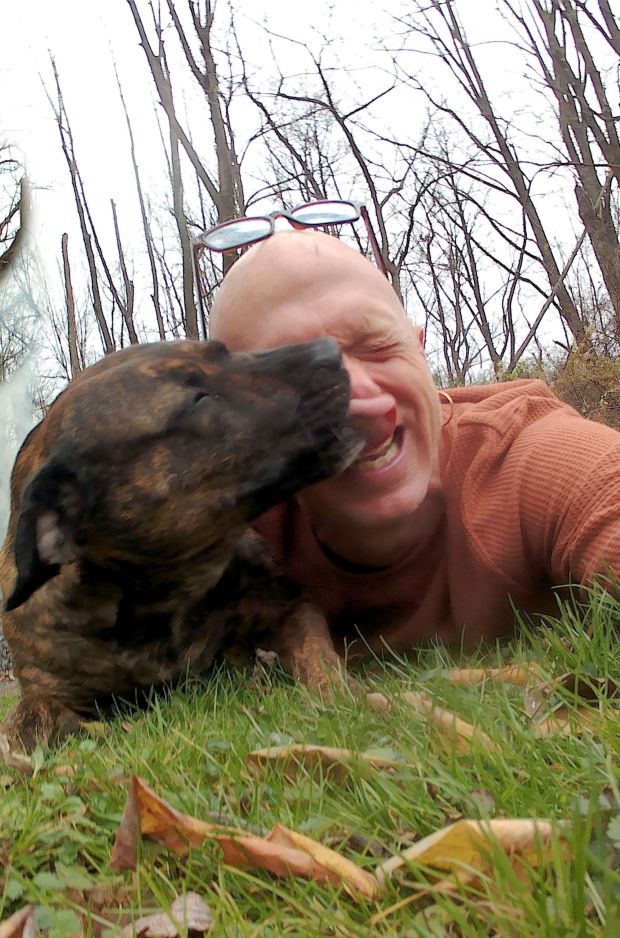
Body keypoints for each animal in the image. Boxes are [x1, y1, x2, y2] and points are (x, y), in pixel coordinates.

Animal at [0, 338, 360, 752]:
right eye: (197, 401)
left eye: (223, 351)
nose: (330, 348)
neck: (149, 604)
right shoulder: (47, 684)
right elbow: (24, 720)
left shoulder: (291, 607)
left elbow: (318, 657)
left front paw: (343, 695)